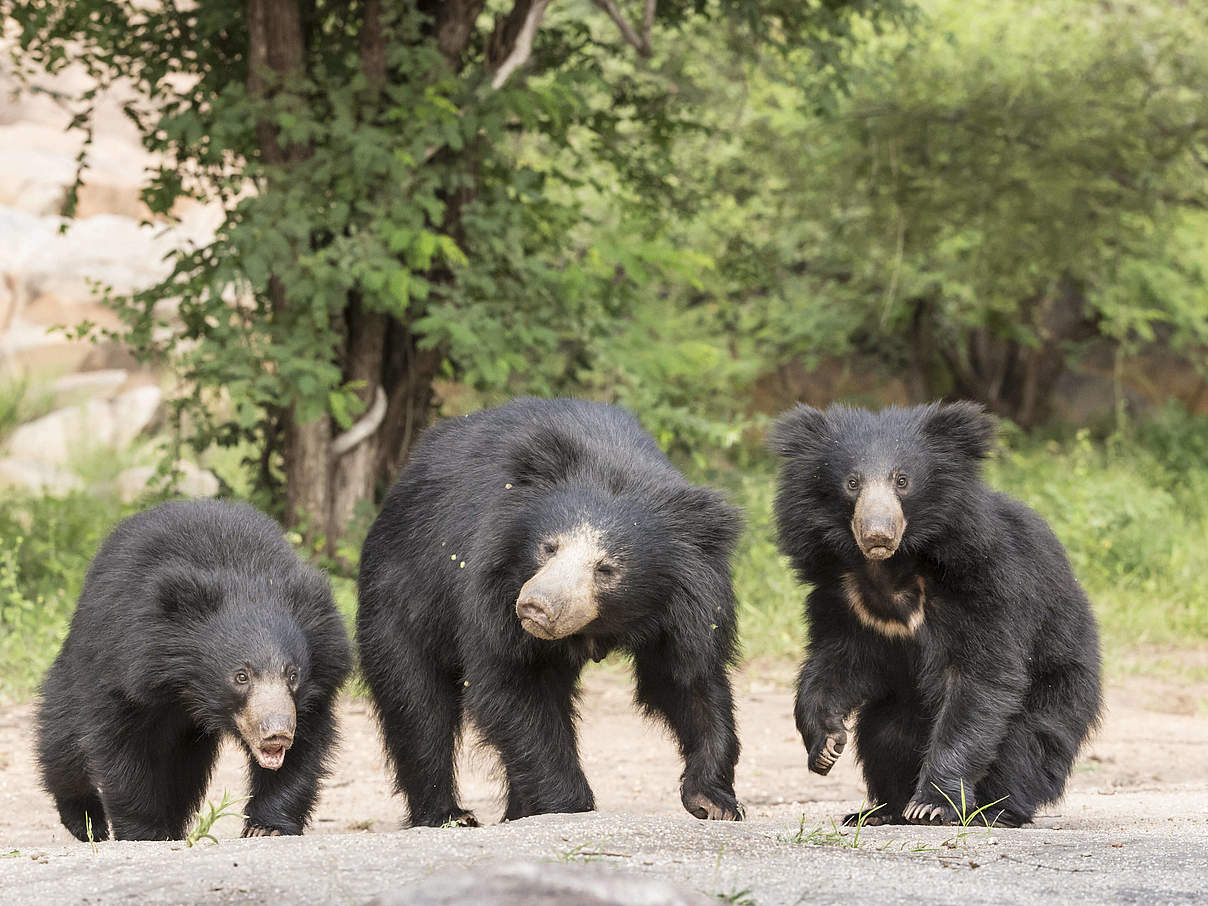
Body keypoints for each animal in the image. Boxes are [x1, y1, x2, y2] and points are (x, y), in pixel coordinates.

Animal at [33, 500, 352, 840]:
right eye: (241, 675)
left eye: (293, 675)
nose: (277, 732)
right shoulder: (125, 668)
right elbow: (122, 750)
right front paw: (145, 832)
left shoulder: (316, 684)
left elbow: (304, 747)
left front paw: (266, 827)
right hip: (76, 665)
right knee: (63, 741)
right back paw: (85, 821)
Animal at [352, 398, 739, 831]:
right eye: (549, 547)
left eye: (606, 569)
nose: (536, 606)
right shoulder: (490, 591)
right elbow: (510, 687)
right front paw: (570, 805)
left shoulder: (685, 611)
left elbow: (683, 680)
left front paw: (714, 800)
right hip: (402, 597)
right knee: (417, 705)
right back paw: (448, 815)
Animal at [773, 403, 1106, 831]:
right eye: (852, 483)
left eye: (902, 481)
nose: (877, 534)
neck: (892, 567)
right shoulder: (846, 599)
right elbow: (836, 663)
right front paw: (826, 745)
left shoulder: (986, 584)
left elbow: (979, 681)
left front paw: (933, 805)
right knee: (884, 736)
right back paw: (880, 811)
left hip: (1059, 689)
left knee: (1024, 743)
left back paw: (993, 812)